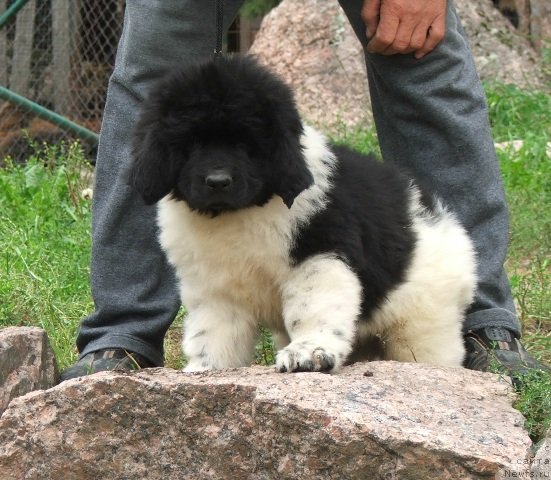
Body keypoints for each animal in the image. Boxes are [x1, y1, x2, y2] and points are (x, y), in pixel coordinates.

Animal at [129, 55, 478, 372]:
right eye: (190, 143)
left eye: (246, 144)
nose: (217, 182)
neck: (243, 211)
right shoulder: (213, 284)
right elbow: (213, 330)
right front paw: (205, 370)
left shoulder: (321, 252)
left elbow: (313, 306)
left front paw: (309, 353)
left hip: (425, 316)